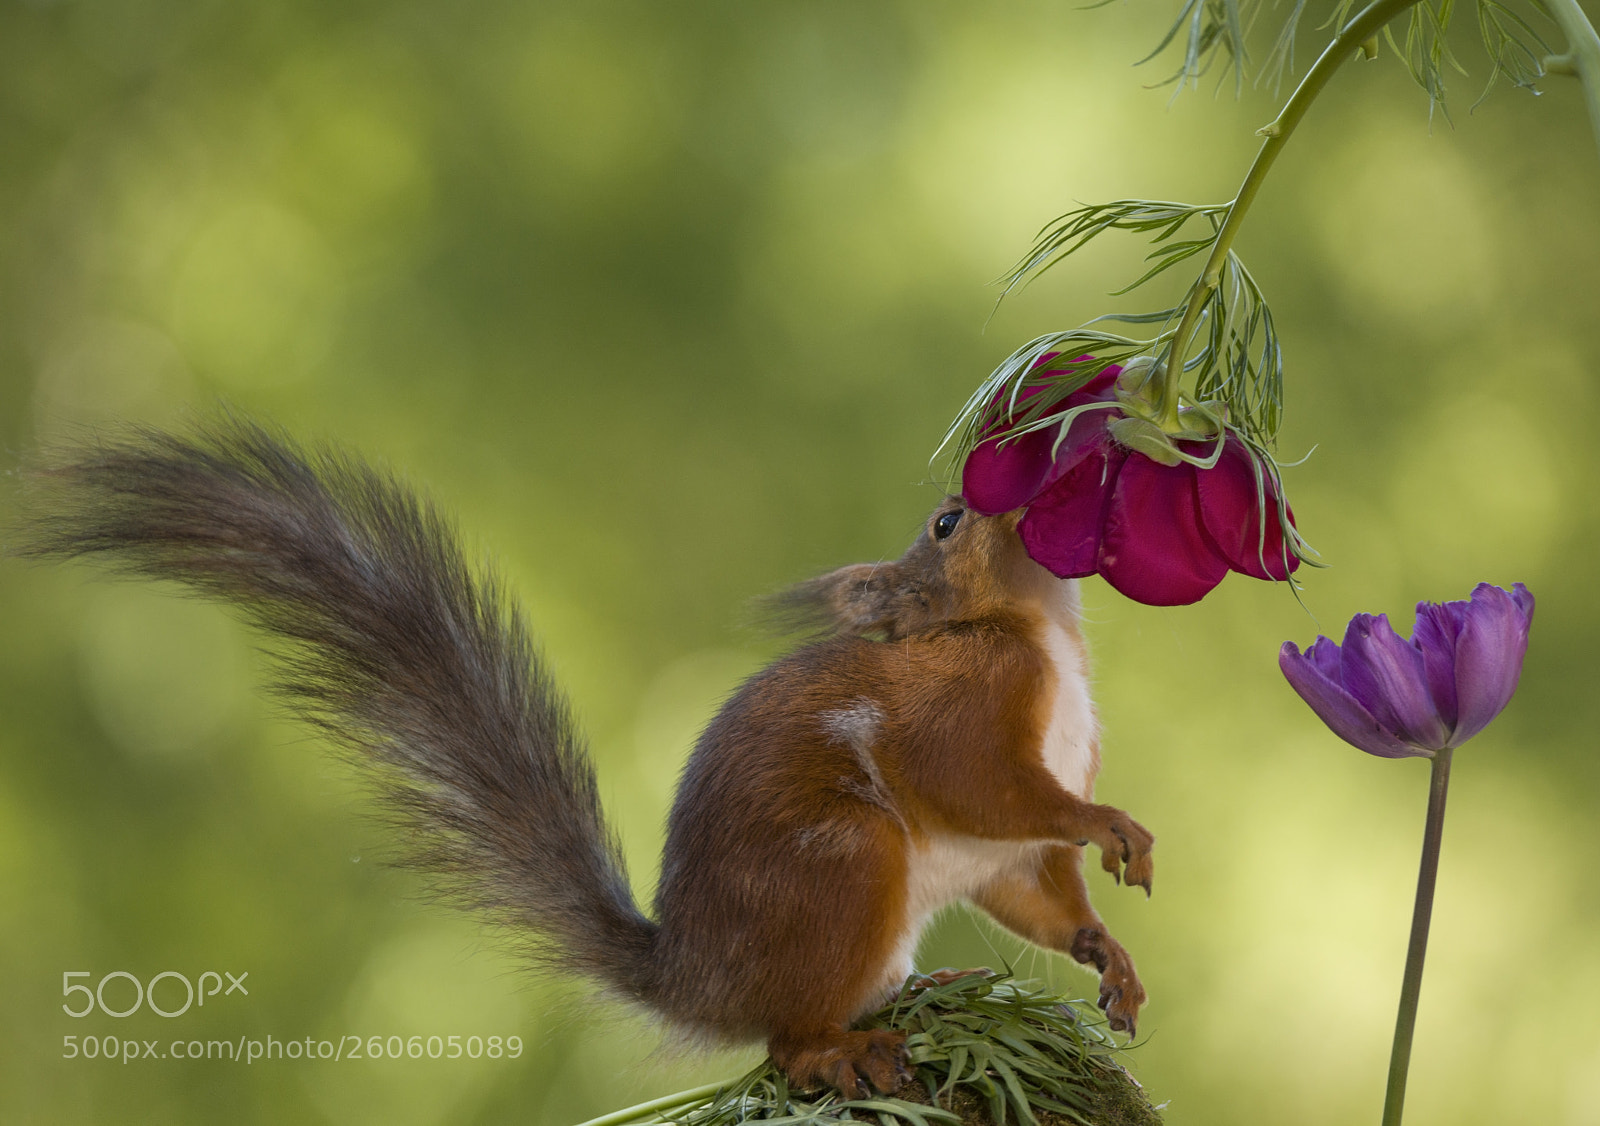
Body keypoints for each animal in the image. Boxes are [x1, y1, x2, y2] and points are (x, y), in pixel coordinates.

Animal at [13, 418, 1154, 1098]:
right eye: (950, 519)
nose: (1014, 481)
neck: (1035, 628)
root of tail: (696, 978)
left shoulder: (1019, 838)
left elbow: (1037, 888)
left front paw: (1111, 959)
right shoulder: (962, 714)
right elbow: (986, 789)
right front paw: (1112, 827)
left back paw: (925, 989)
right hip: (844, 863)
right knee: (784, 1043)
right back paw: (846, 1047)